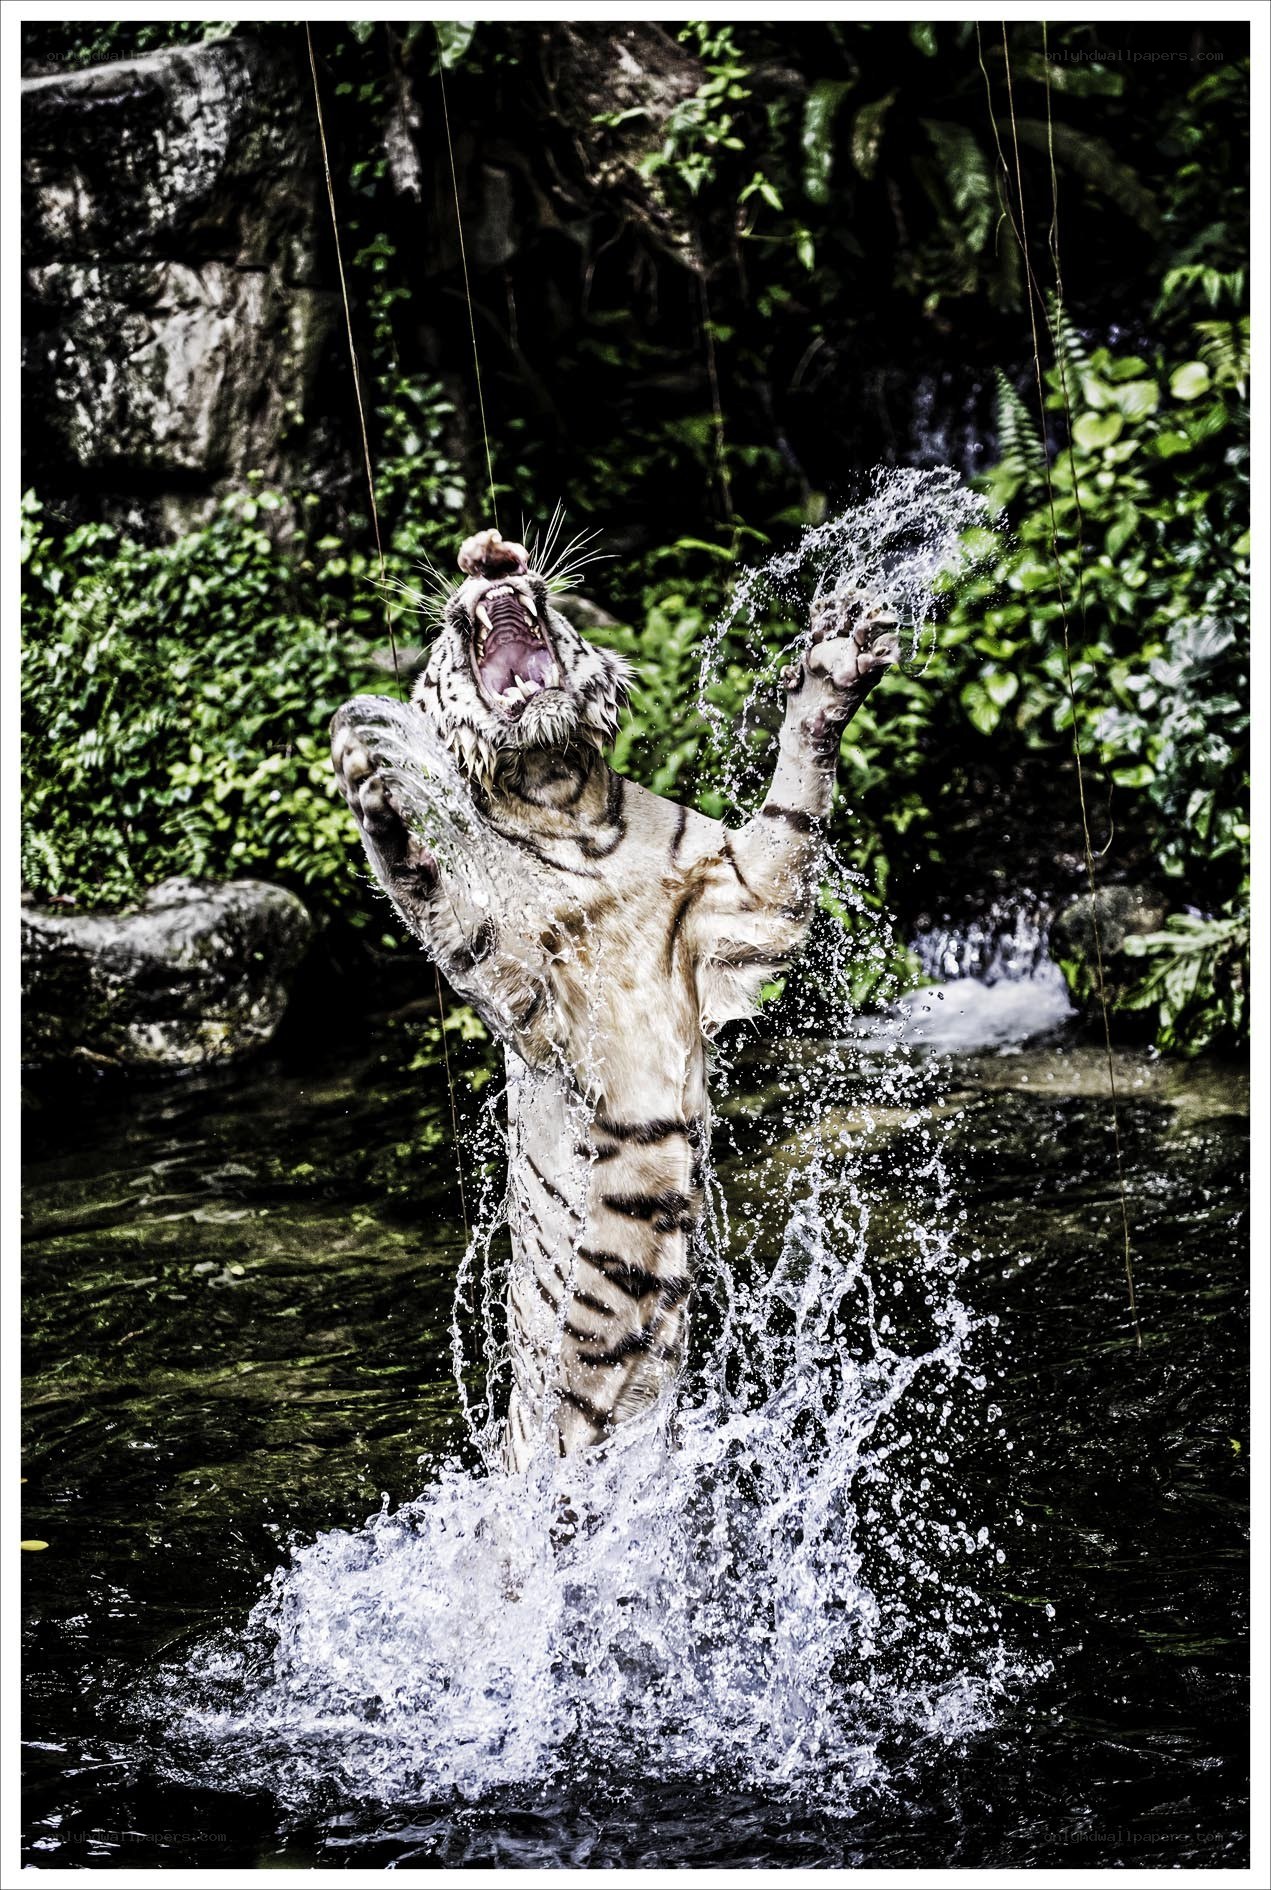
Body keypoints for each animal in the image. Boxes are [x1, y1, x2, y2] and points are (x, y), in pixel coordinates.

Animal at [330, 526, 898, 1473]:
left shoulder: (744, 900)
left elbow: (792, 803)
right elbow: (436, 901)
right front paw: (372, 789)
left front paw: (836, 659)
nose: (484, 551)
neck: (568, 811)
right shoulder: (527, 996)